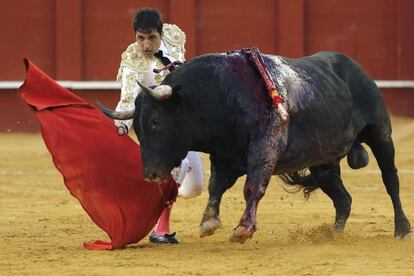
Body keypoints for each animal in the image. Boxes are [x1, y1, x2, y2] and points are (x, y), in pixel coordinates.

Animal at [98, 50, 412, 243]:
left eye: (155, 122)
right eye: (137, 129)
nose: (151, 174)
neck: (217, 96)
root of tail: (354, 66)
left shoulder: (265, 148)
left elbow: (253, 186)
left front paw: (243, 229)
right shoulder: (225, 156)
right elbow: (216, 186)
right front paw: (209, 223)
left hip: (381, 135)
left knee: (390, 179)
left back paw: (402, 229)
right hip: (322, 161)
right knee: (343, 199)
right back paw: (333, 235)